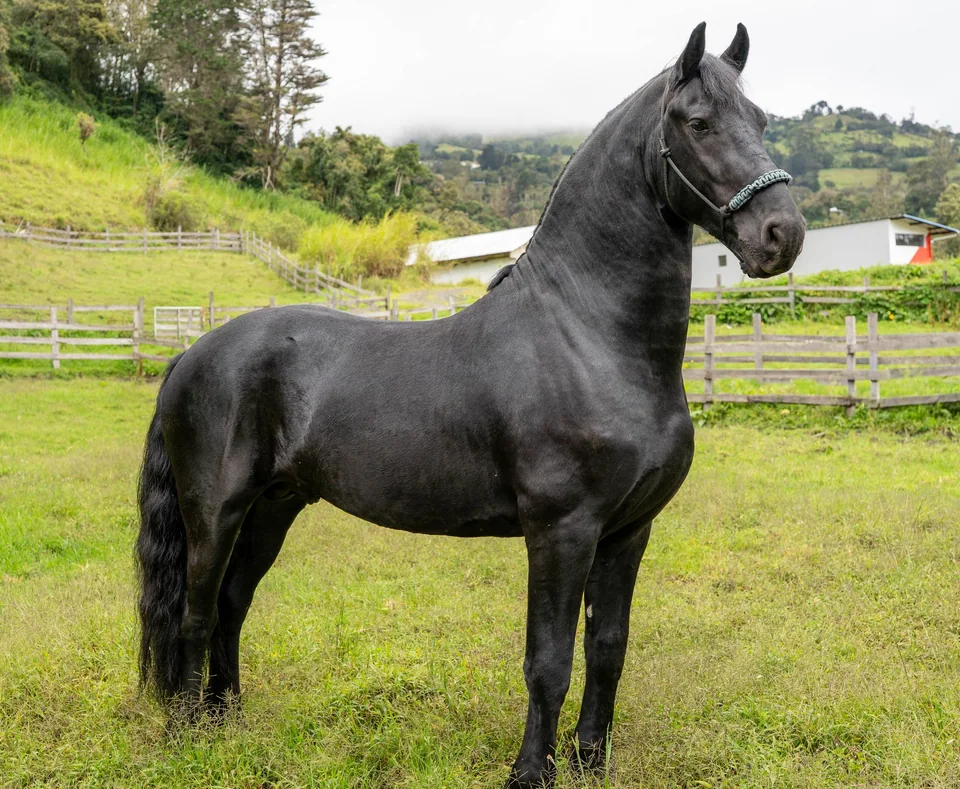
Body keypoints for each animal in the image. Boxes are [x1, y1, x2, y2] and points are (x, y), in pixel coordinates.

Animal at [136, 22, 804, 788]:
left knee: (230, 605)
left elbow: (608, 647)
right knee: (195, 610)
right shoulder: (561, 530)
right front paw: (532, 772)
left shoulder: (629, 531)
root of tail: (192, 352)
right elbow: (548, 661)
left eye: (760, 121)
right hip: (215, 510)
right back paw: (188, 734)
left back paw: (229, 720)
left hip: (275, 505)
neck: (589, 336)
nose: (783, 234)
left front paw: (590, 760)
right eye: (698, 122)